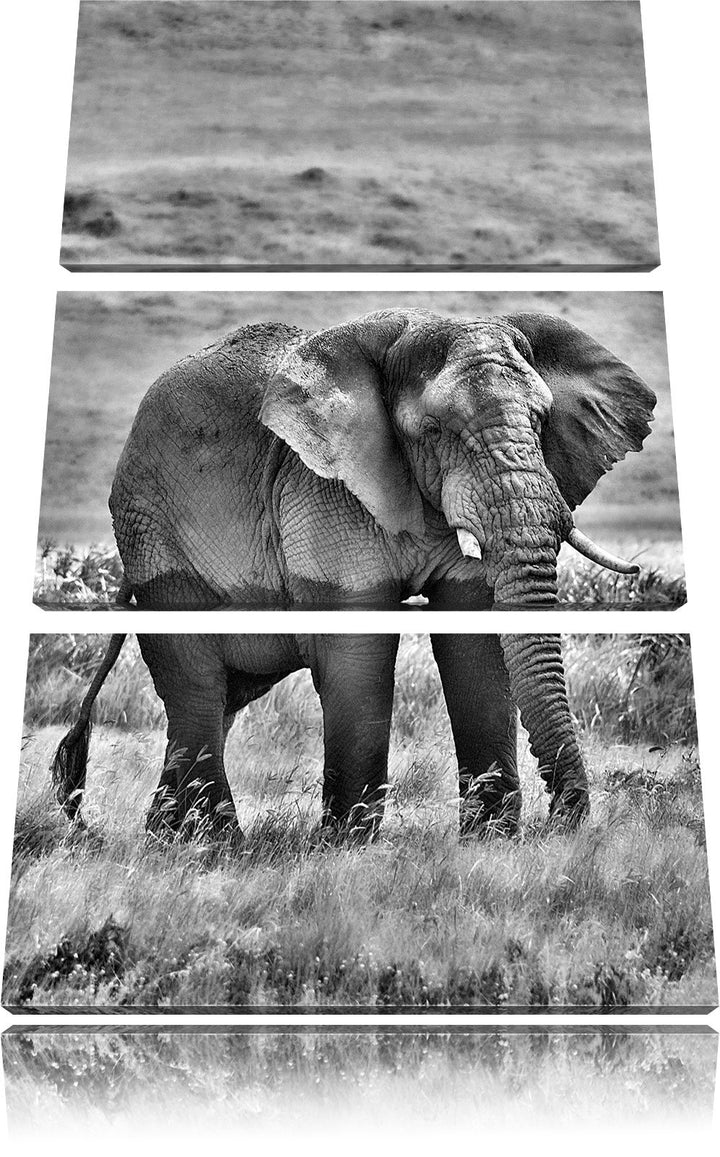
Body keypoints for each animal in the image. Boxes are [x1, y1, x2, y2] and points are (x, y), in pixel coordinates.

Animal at [52, 633, 588, 842]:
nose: (558, 820)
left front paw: (489, 842)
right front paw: (348, 847)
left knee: (213, 713)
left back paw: (168, 839)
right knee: (199, 702)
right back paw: (220, 847)